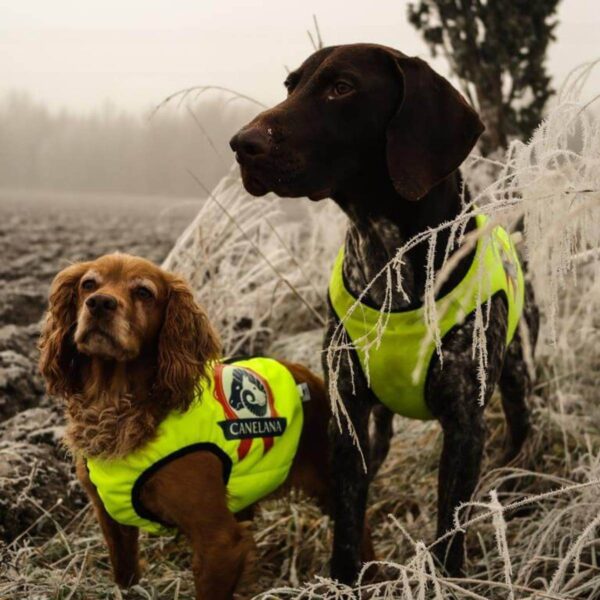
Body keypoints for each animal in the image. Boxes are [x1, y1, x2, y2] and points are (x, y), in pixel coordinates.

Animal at [230, 43, 540, 580]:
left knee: (521, 424)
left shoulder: (464, 424)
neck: (386, 253)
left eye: (341, 87)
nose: (241, 143)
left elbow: (450, 529)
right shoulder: (348, 409)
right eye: (291, 85)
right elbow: (348, 518)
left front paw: (448, 580)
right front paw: (344, 578)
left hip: (517, 373)